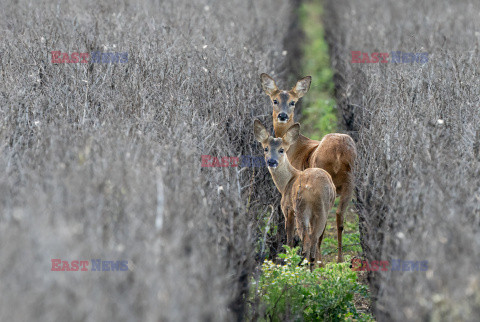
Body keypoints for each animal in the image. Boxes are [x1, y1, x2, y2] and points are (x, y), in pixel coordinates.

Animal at [253, 119, 336, 268]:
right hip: (324, 210)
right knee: (315, 239)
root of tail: (320, 190)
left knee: (307, 240)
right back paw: (313, 267)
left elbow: (290, 240)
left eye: (281, 150)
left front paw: (287, 259)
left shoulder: (287, 209)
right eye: (265, 148)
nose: (271, 161)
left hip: (301, 208)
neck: (287, 182)